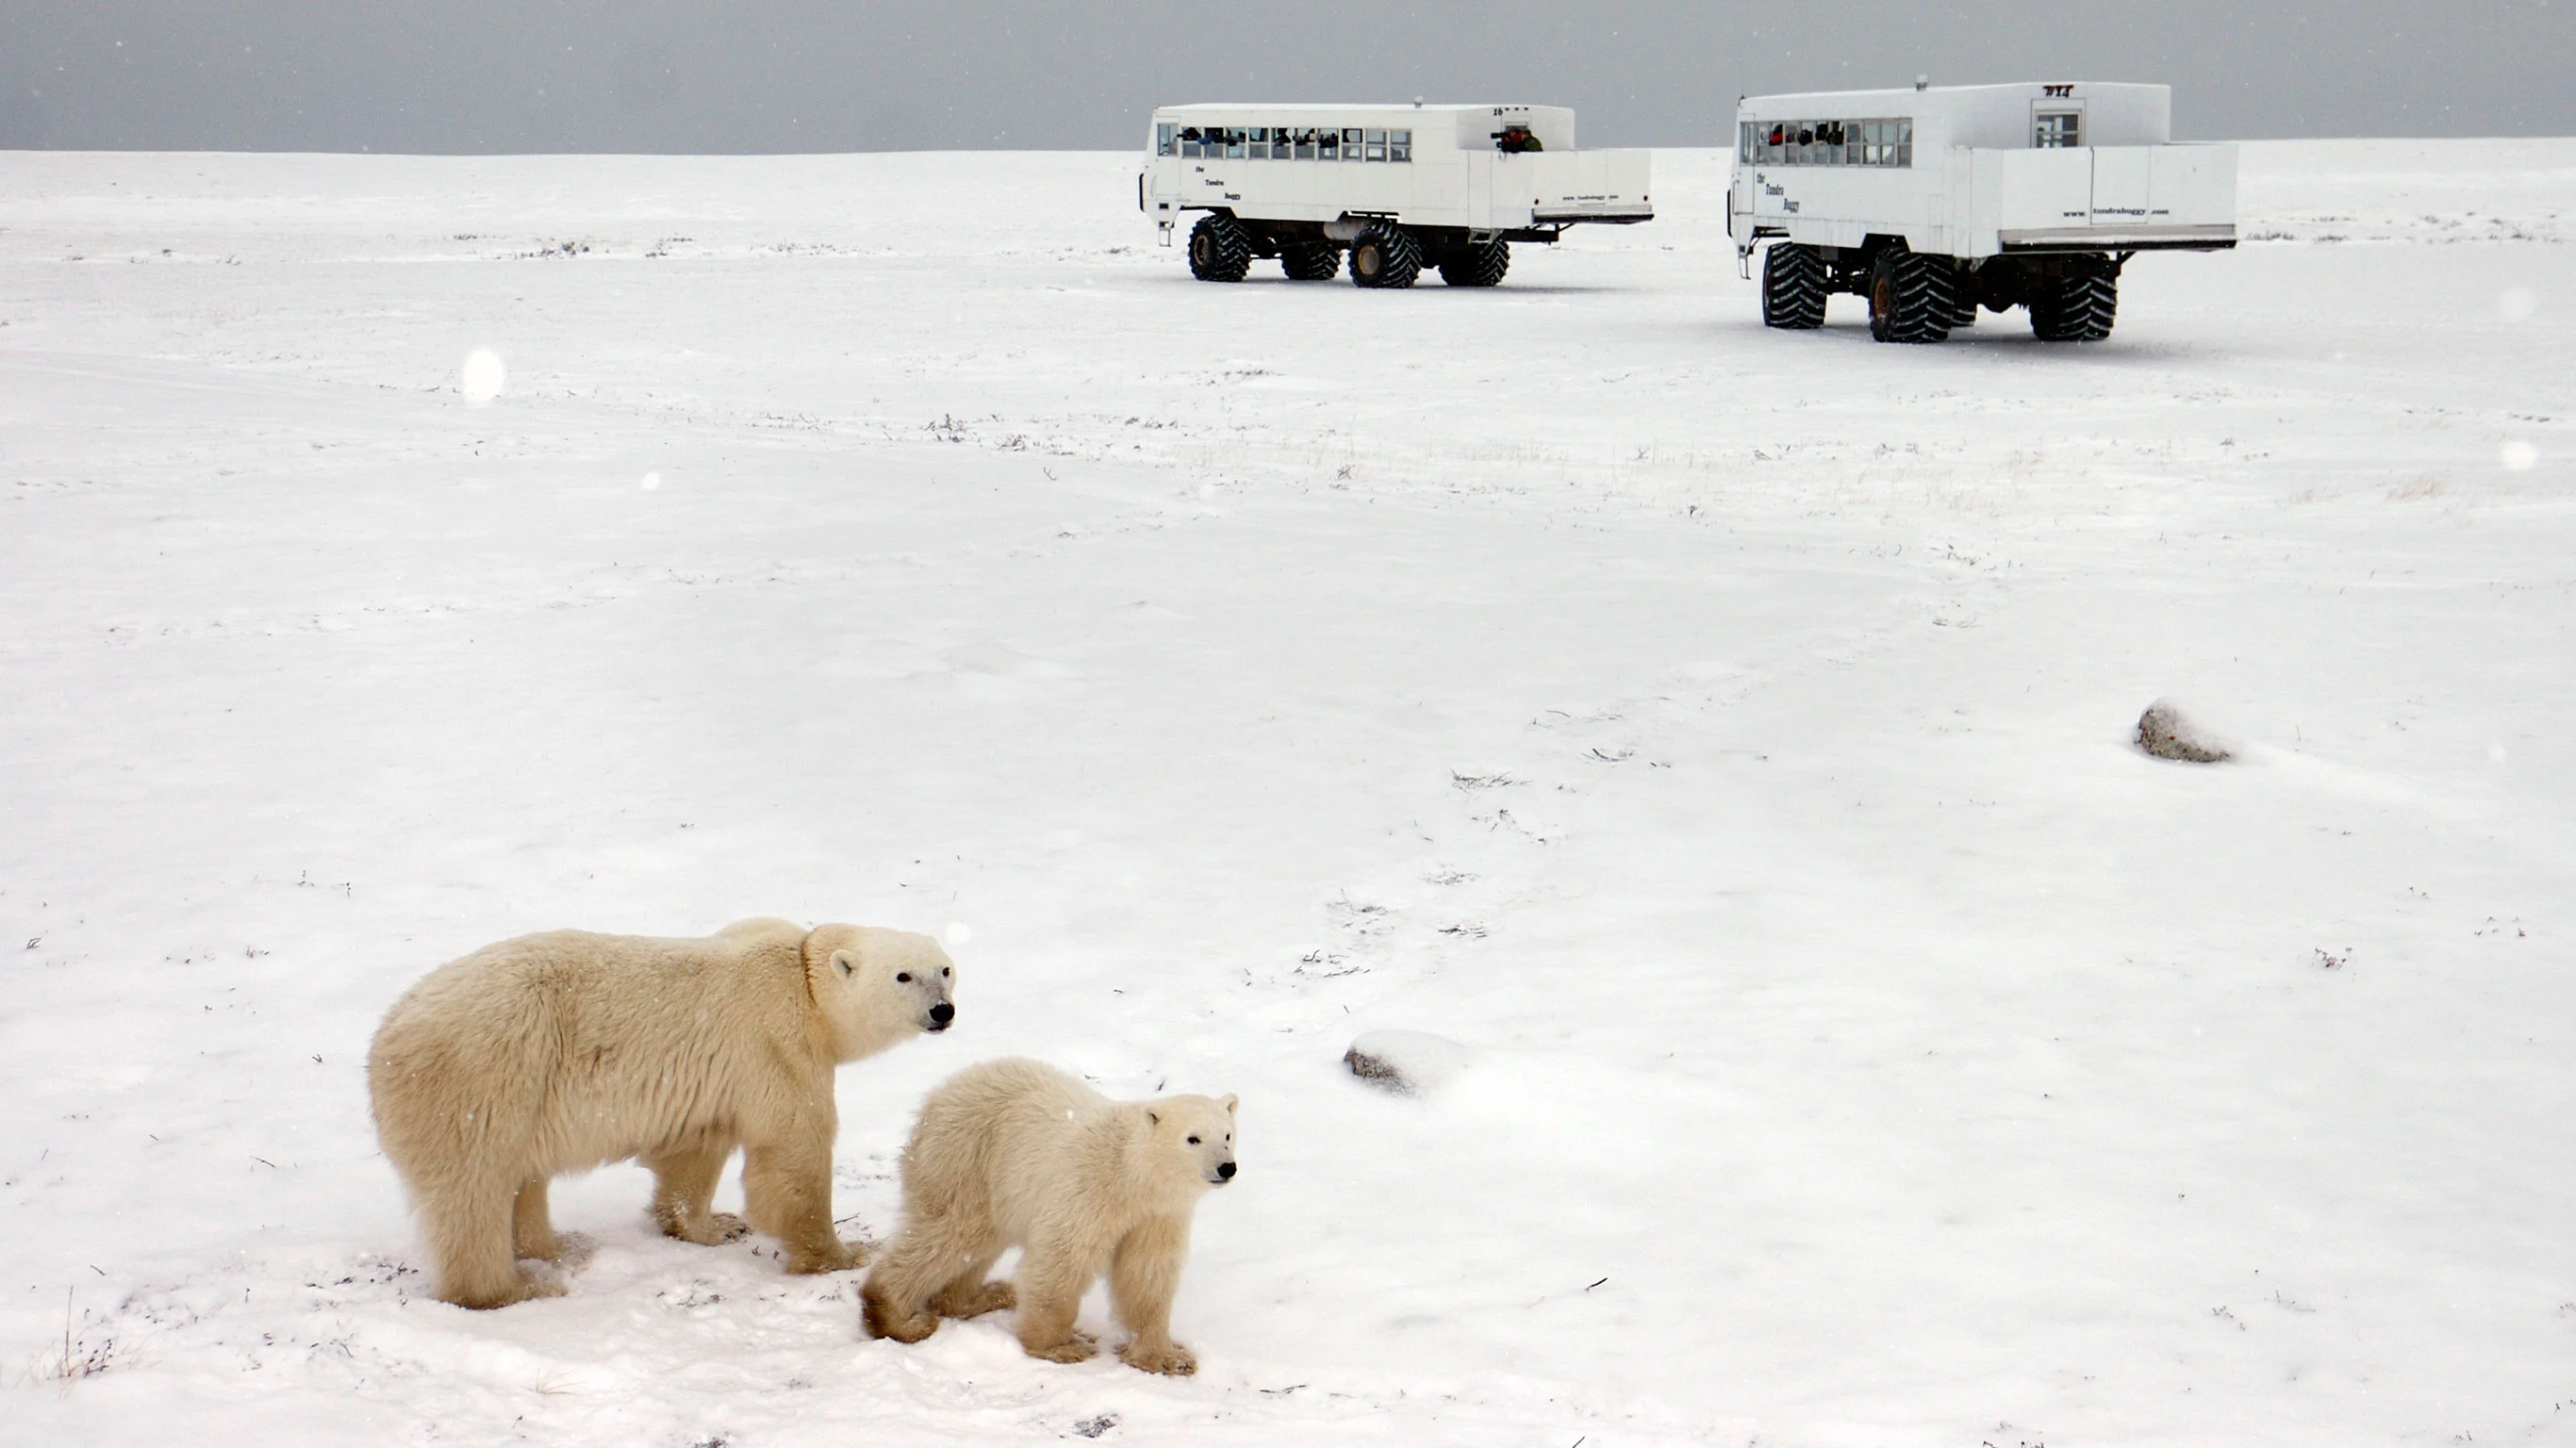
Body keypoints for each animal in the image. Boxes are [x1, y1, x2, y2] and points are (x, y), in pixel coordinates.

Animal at [366, 917, 956, 1309]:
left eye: (946, 969)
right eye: (903, 976)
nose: (943, 1010)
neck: (804, 976)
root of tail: (386, 1038)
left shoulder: (719, 1075)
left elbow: (695, 1148)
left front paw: (712, 1225)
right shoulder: (776, 1041)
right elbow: (793, 1152)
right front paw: (844, 1253)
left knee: (520, 1179)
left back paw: (560, 1248)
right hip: (485, 1073)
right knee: (474, 1189)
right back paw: (514, 1287)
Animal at [860, 1057, 1237, 1376]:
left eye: (1228, 1135)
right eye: (1193, 1139)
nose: (1227, 1167)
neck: (1131, 1175)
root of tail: (937, 1096)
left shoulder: (1158, 1215)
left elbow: (1146, 1273)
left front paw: (1167, 1356)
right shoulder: (1088, 1191)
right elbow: (1062, 1260)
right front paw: (1063, 1346)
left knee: (979, 1243)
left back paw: (985, 1295)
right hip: (967, 1161)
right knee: (951, 1233)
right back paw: (897, 1317)